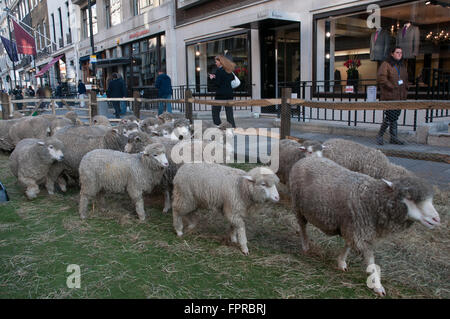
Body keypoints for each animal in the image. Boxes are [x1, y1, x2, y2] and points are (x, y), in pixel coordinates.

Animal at [288, 158, 440, 298]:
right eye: (409, 198)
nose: (436, 219)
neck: (372, 200)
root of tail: (306, 159)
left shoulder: (354, 228)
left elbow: (348, 245)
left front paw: (341, 262)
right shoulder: (359, 231)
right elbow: (371, 262)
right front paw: (378, 286)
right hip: (298, 205)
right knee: (302, 226)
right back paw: (305, 246)